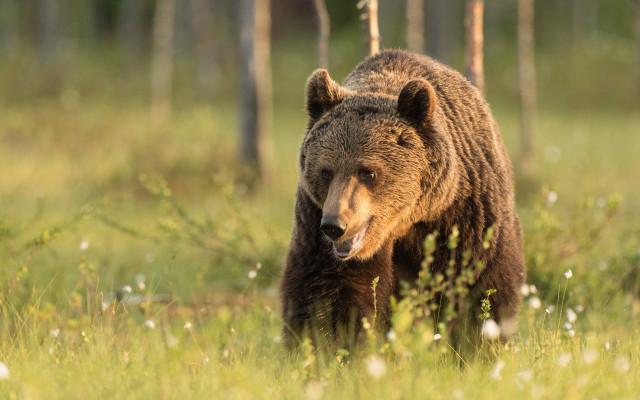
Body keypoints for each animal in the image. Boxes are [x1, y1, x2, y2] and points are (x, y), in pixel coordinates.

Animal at [279, 49, 525, 352]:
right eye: (326, 171)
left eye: (368, 172)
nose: (335, 225)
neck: (406, 222)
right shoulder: (313, 217)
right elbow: (328, 291)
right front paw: (332, 348)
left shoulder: (466, 215)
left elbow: (479, 285)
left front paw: (478, 345)